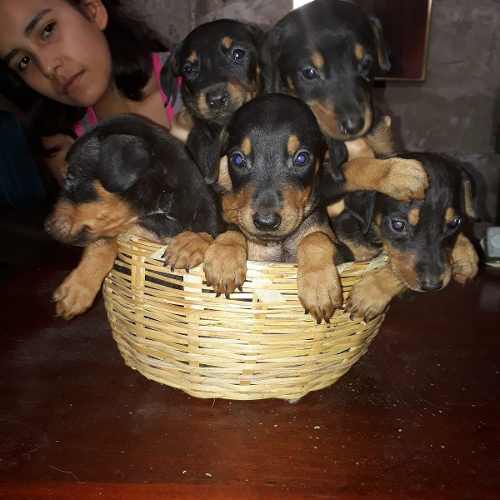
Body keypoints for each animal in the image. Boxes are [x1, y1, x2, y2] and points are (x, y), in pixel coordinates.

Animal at [45, 113, 225, 318]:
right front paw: (76, 291)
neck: (158, 212)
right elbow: (104, 241)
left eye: (70, 178)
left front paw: (188, 245)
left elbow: (207, 236)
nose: (46, 227)